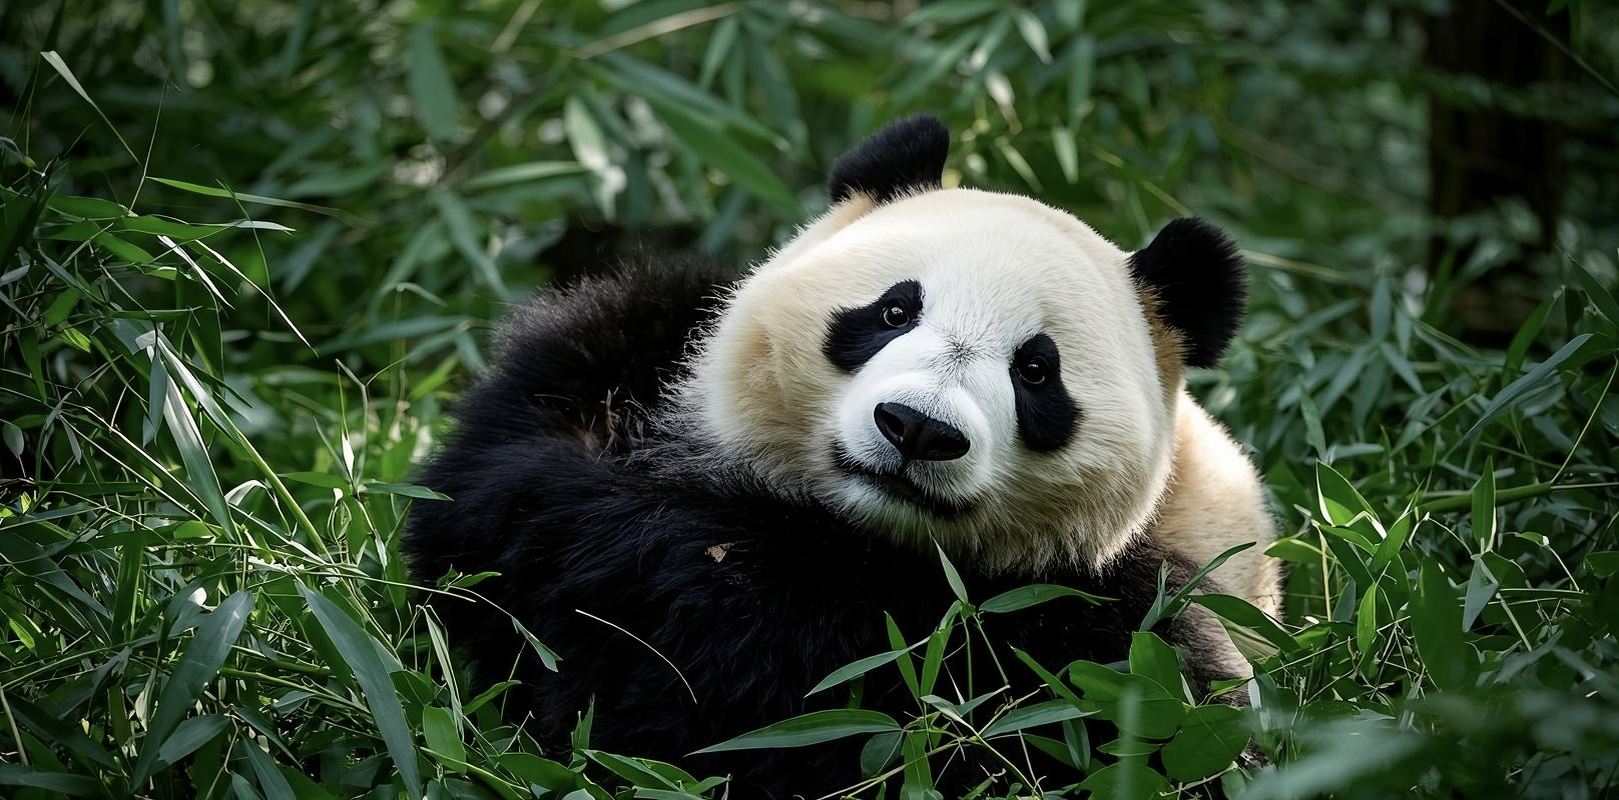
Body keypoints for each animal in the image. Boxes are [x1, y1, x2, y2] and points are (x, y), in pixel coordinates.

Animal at [405, 115, 1280, 795]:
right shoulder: (607, 361)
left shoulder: (1115, 631)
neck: (857, 531)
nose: (916, 429)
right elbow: (508, 507)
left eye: (1036, 370)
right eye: (893, 310)